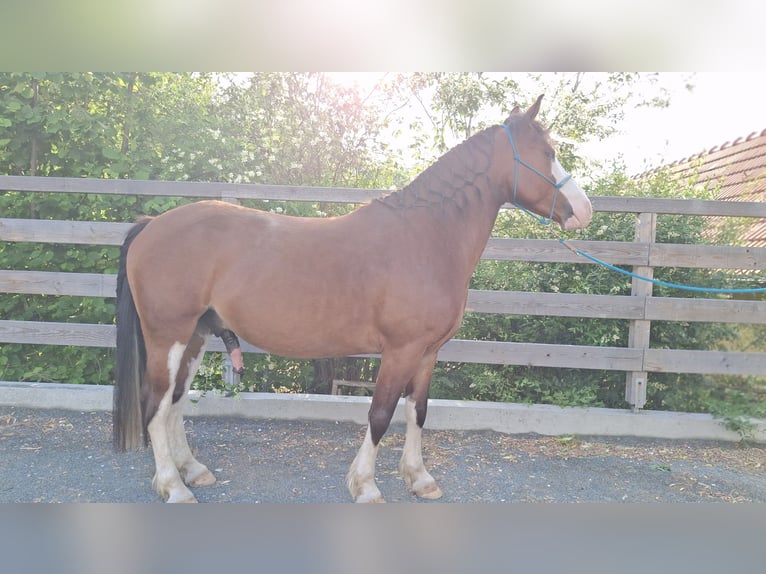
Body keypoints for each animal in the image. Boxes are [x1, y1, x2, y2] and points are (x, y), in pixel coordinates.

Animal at [113, 95, 592, 503]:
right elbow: (380, 414)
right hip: (169, 336)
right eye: (546, 153)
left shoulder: (428, 352)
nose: (584, 211)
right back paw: (174, 486)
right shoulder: (400, 350)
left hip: (196, 335)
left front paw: (420, 479)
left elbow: (417, 412)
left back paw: (191, 470)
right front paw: (365, 485)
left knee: (175, 402)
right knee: (156, 405)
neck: (427, 236)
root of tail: (152, 225)